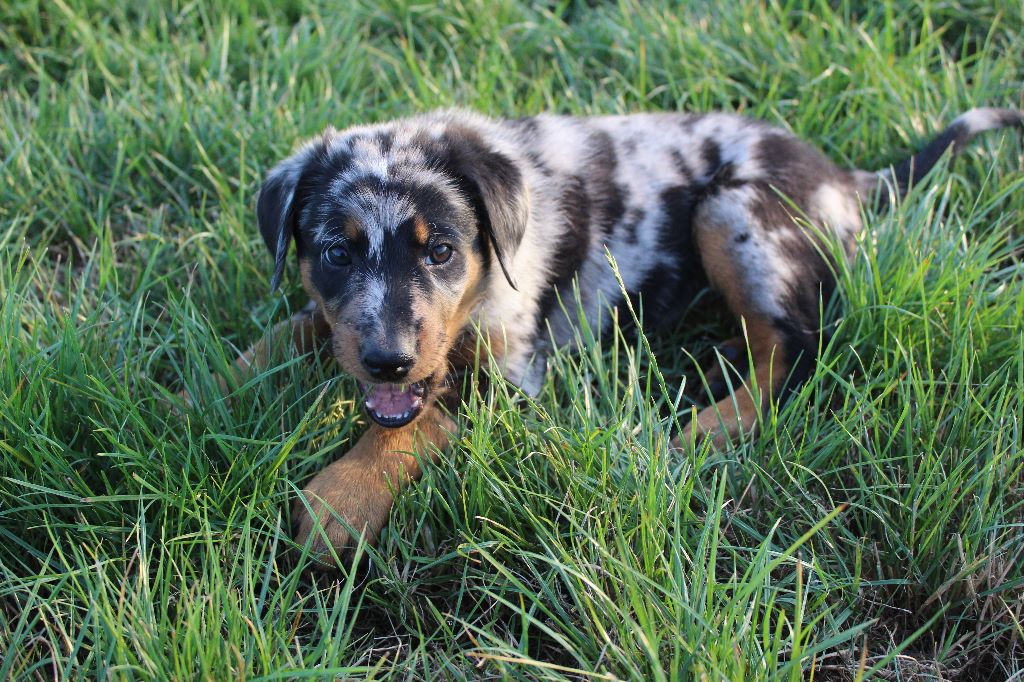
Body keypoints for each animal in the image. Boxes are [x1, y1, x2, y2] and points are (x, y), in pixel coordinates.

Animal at [221, 107, 1021, 563]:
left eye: (441, 250)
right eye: (336, 252)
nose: (388, 362)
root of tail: (849, 180)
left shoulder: (513, 374)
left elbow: (413, 426)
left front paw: (338, 502)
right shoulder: (348, 326)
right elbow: (293, 330)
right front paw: (207, 391)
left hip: (733, 211)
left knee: (797, 349)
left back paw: (707, 425)